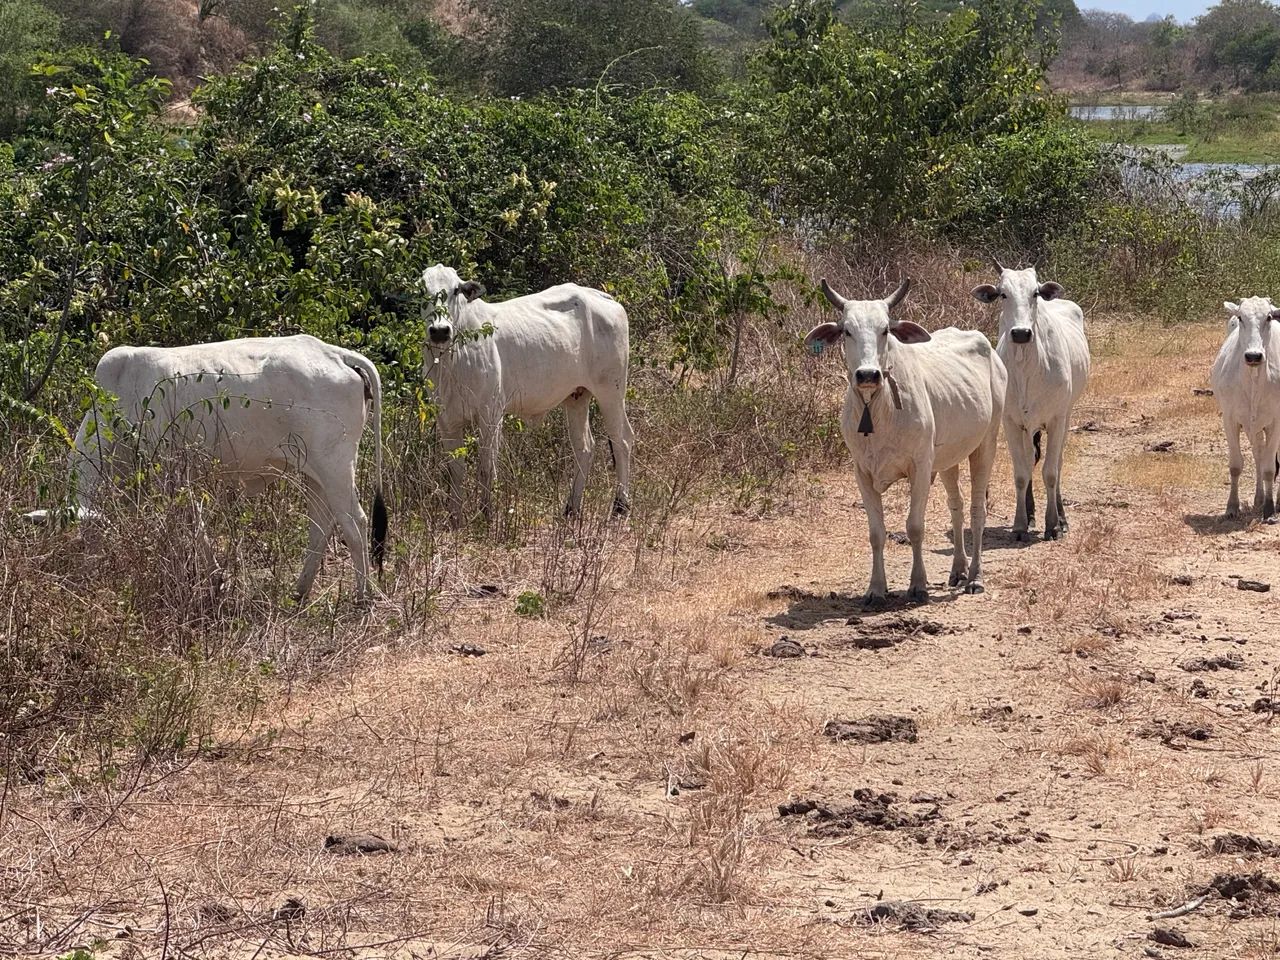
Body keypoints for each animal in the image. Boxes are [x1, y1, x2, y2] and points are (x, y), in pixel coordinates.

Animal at [25, 335, 387, 602]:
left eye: (89, 536)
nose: (86, 572)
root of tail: (333, 353)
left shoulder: (168, 471)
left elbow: (183, 527)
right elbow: (196, 525)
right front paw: (215, 578)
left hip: (335, 466)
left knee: (355, 523)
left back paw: (363, 596)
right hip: (313, 473)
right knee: (321, 526)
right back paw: (298, 592)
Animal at [419, 263, 635, 523]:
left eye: (455, 290)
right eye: (422, 291)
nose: (439, 331)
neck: (452, 361)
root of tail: (602, 297)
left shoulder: (491, 413)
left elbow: (486, 467)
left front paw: (486, 515)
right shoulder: (446, 418)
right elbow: (455, 470)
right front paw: (455, 518)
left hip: (611, 391)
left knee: (622, 440)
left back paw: (620, 506)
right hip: (577, 396)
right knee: (584, 447)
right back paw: (571, 508)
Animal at [805, 277, 1007, 605]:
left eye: (885, 330)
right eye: (847, 331)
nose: (868, 374)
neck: (878, 409)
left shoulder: (920, 467)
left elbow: (914, 527)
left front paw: (918, 585)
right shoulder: (862, 472)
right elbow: (876, 533)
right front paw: (876, 589)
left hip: (985, 443)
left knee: (978, 509)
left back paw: (975, 576)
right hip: (948, 458)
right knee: (957, 505)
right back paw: (958, 569)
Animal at [972, 265, 1090, 541]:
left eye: (1035, 293)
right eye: (1003, 294)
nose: (1021, 333)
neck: (1027, 366)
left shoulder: (1057, 419)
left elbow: (1051, 472)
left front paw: (1053, 524)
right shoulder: (1011, 422)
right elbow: (1021, 474)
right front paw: (1019, 525)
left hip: (1066, 416)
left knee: (1057, 463)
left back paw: (1061, 518)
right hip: (1028, 426)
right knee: (1029, 460)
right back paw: (1031, 513)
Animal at [1211, 296, 1280, 520]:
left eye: (1269, 317)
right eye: (1241, 317)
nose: (1253, 356)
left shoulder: (1276, 421)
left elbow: (1269, 468)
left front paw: (1269, 508)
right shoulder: (1230, 419)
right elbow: (1236, 465)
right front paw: (1232, 506)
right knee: (1258, 453)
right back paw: (1258, 498)